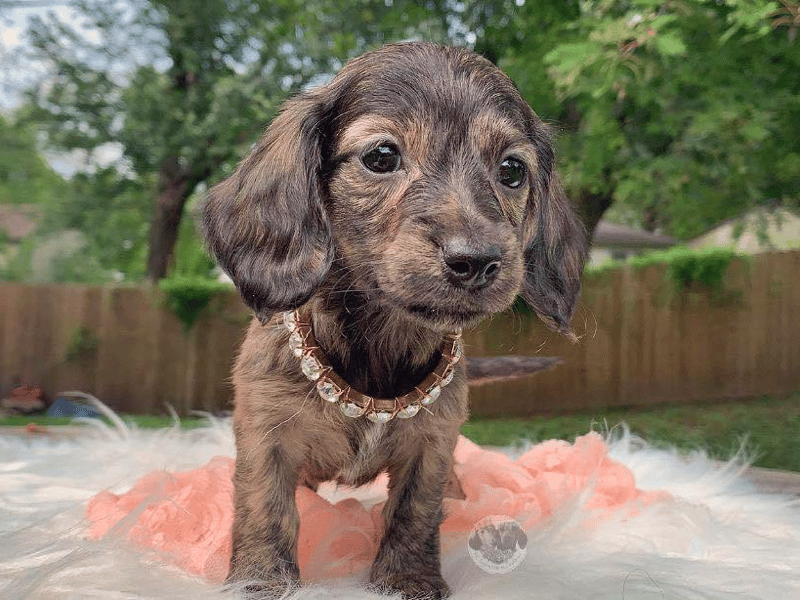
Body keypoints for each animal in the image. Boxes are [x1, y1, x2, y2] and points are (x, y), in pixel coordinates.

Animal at [203, 39, 584, 596]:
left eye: (512, 170)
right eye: (381, 156)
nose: (476, 261)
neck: (376, 349)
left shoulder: (434, 443)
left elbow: (415, 512)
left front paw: (407, 580)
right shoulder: (265, 434)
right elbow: (265, 509)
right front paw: (260, 581)